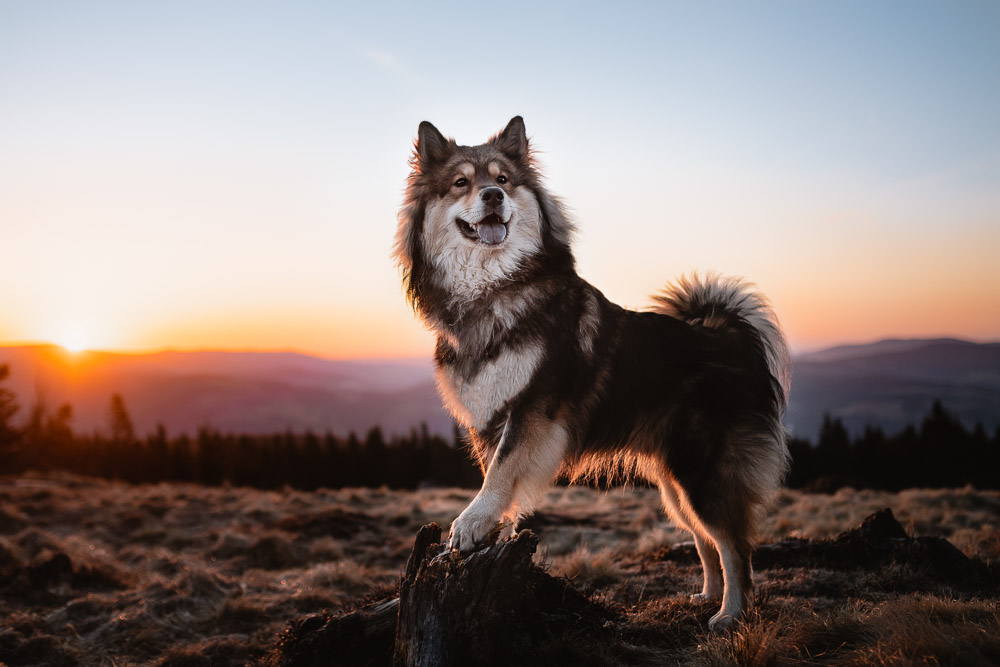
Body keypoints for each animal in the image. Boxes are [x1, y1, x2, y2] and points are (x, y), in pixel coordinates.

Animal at [390, 116, 788, 632]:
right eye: (461, 183)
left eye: (502, 180)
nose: (493, 197)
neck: (493, 290)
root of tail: (731, 338)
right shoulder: (488, 415)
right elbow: (498, 474)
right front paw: (497, 530)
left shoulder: (533, 407)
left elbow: (501, 472)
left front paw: (472, 523)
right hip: (675, 480)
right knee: (706, 539)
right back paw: (706, 596)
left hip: (703, 471)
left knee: (734, 545)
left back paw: (731, 614)